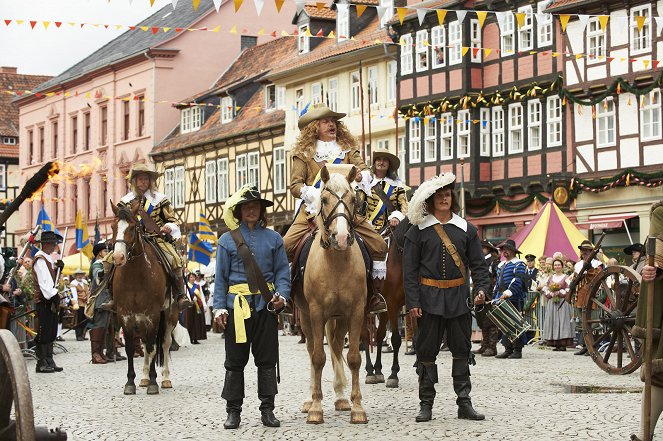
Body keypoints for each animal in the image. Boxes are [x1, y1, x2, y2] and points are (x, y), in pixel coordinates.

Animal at [111, 203, 179, 396]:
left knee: (164, 343)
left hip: (170, 316)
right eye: (112, 227)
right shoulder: (125, 315)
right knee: (144, 344)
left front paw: (154, 382)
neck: (135, 275)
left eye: (133, 228)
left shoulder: (153, 315)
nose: (118, 258)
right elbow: (131, 348)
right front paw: (131, 382)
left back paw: (165, 378)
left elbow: (152, 346)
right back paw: (144, 376)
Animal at [294, 164, 368, 422]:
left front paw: (357, 408)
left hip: (340, 319)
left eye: (354, 199)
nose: (342, 238)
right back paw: (309, 399)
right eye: (324, 199)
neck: (336, 263)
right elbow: (318, 357)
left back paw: (341, 397)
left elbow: (354, 358)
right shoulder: (317, 313)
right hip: (307, 318)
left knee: (336, 346)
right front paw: (316, 408)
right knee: (311, 350)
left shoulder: (356, 312)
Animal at [364, 218, 410, 386]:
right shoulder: (392, 304)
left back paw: (377, 371)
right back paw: (370, 371)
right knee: (365, 336)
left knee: (378, 335)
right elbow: (395, 339)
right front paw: (393, 374)